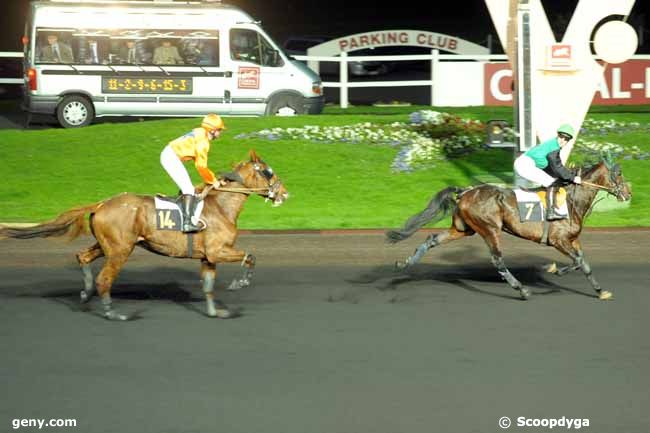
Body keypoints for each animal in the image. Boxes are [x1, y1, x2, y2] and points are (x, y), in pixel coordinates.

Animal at [0, 150, 288, 318]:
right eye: (268, 172)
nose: (284, 193)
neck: (221, 206)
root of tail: (101, 204)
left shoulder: (209, 256)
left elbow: (207, 286)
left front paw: (215, 312)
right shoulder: (219, 250)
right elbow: (251, 256)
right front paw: (240, 283)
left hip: (106, 245)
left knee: (82, 257)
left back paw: (85, 295)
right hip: (120, 249)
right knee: (105, 278)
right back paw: (112, 313)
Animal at [384, 159, 628, 300]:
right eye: (619, 174)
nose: (628, 193)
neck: (572, 200)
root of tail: (466, 191)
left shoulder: (572, 239)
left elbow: (584, 263)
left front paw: (601, 291)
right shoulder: (559, 240)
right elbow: (577, 261)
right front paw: (554, 270)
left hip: (463, 229)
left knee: (433, 239)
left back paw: (405, 263)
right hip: (490, 228)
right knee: (497, 260)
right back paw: (522, 289)